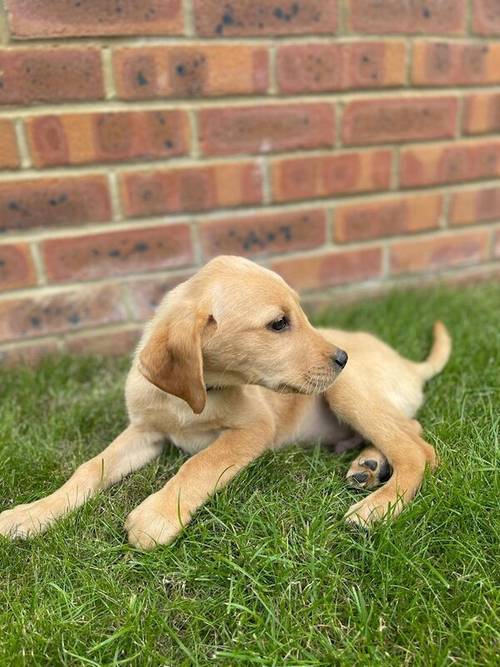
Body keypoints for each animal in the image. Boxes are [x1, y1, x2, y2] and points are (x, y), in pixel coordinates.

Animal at [0, 256, 454, 548]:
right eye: (279, 323)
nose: (342, 357)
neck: (194, 398)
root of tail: (409, 365)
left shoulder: (254, 428)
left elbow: (200, 463)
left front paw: (158, 515)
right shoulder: (144, 431)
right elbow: (89, 469)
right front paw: (32, 514)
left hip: (346, 390)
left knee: (418, 450)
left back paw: (378, 507)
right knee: (411, 431)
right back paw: (368, 465)